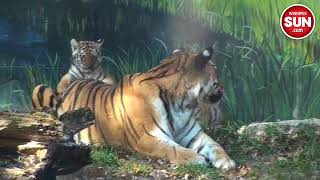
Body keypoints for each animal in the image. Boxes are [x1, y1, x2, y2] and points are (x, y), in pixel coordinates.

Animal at [58, 47, 236, 169]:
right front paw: (196, 159)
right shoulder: (146, 137)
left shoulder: (193, 134)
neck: (183, 104)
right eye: (216, 71)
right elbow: (173, 149)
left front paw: (226, 161)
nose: (224, 87)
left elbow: (214, 145)